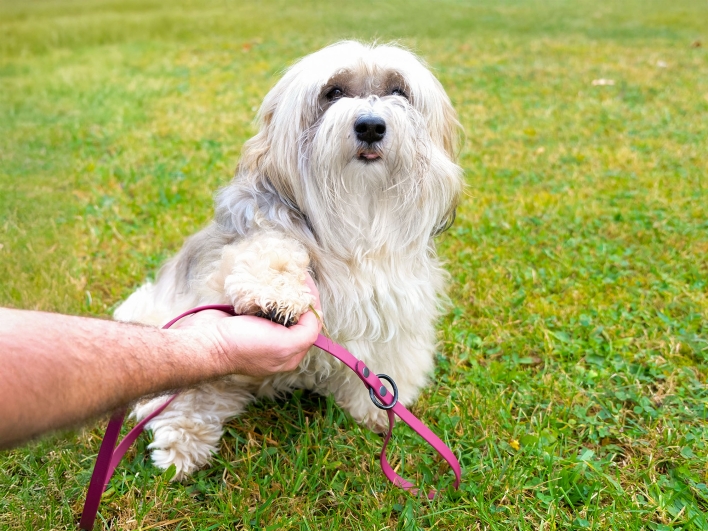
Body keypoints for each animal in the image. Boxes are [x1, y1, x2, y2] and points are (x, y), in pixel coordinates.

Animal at [116, 39, 464, 480]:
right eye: (333, 92)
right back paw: (179, 444)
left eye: (398, 91)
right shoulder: (236, 256)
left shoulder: (394, 310)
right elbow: (271, 252)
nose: (370, 126)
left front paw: (374, 409)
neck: (356, 214)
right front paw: (276, 295)